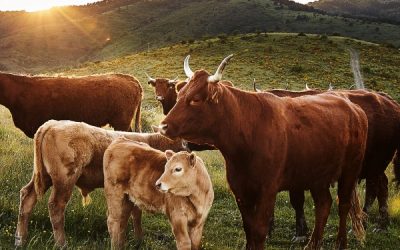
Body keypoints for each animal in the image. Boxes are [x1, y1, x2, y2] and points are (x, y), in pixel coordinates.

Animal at [14, 120, 186, 247]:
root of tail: (51, 124)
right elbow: (136, 214)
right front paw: (138, 240)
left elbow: (135, 214)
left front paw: (138, 240)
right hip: (64, 179)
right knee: (56, 206)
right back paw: (62, 244)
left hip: (43, 176)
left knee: (27, 196)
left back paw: (20, 240)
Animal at [159, 55, 368, 249]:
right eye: (179, 94)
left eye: (195, 99)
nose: (163, 126)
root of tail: (353, 107)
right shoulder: (240, 189)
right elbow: (248, 228)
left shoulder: (267, 190)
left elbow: (260, 230)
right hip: (317, 175)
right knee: (324, 205)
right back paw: (312, 244)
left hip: (350, 170)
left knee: (343, 205)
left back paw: (341, 243)